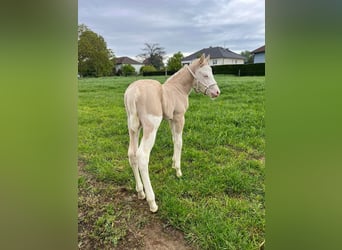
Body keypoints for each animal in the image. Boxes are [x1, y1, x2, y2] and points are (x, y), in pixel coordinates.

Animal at [123, 53, 219, 212]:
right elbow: (179, 141)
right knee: (142, 156)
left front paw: (174, 164)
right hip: (151, 127)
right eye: (205, 75)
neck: (177, 89)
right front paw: (178, 171)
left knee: (132, 154)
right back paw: (152, 202)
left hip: (133, 128)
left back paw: (140, 192)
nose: (217, 92)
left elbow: (174, 139)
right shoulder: (180, 117)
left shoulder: (171, 119)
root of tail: (133, 93)